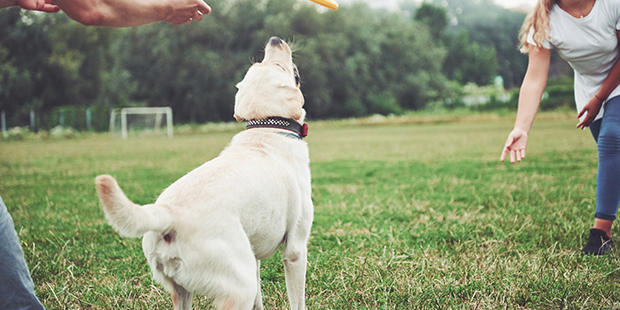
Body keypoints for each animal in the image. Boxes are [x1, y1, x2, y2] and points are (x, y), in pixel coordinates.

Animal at [95, 37, 314, 310]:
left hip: (185, 290)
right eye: (278, 66)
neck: (267, 126)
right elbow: (298, 301)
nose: (275, 40)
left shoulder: (253, 256)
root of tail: (168, 213)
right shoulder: (295, 250)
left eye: (260, 64)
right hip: (238, 286)